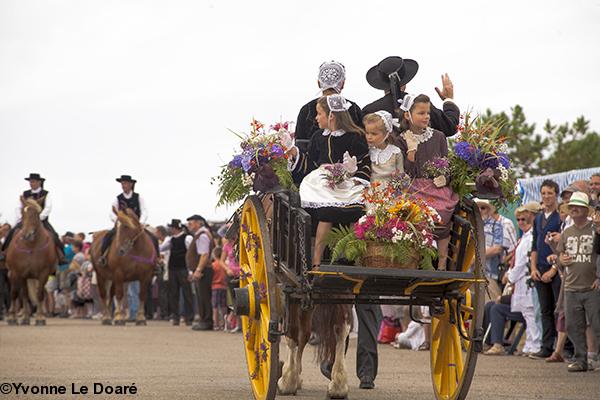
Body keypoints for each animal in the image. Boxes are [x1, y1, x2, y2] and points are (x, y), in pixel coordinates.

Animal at [232, 191, 486, 400]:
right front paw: (300, 376)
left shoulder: (286, 286)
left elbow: (296, 334)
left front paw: (288, 379)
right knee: (341, 327)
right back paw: (338, 383)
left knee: (309, 330)